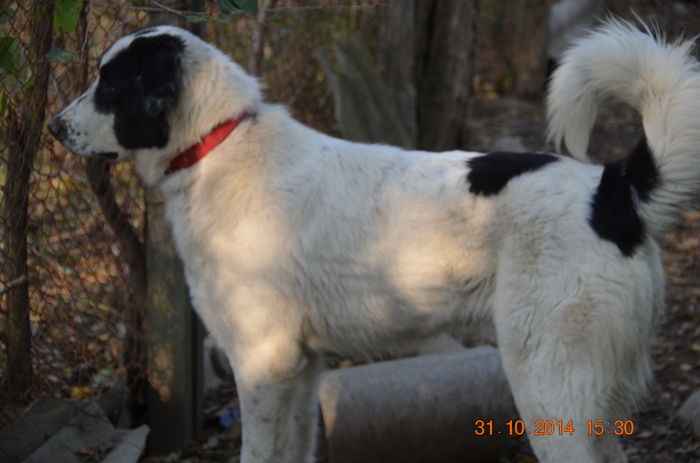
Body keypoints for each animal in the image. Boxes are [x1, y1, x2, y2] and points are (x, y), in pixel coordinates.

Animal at [46, 20, 696, 463]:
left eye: (109, 85)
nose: (52, 126)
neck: (219, 143)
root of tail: (612, 189)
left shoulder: (261, 363)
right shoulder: (300, 369)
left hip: (547, 386)